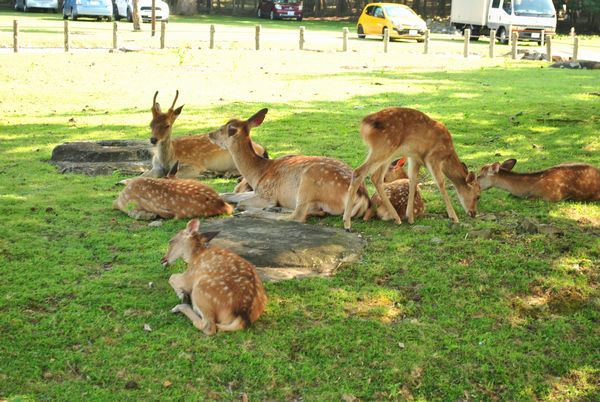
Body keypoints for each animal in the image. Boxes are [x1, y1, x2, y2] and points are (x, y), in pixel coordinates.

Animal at [209, 108, 372, 221]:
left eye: (224, 129)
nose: (210, 134)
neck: (257, 173)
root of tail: (364, 199)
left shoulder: (268, 195)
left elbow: (241, 203)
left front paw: (252, 209)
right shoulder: (257, 190)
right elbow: (227, 194)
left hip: (309, 181)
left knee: (298, 216)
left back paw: (253, 212)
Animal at [344, 108, 480, 231]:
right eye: (478, 195)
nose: (473, 213)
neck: (447, 155)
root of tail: (364, 124)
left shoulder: (415, 158)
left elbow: (413, 180)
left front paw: (410, 217)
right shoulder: (433, 158)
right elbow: (441, 183)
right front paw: (454, 218)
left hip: (386, 153)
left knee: (376, 178)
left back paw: (397, 218)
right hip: (384, 148)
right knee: (359, 172)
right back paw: (347, 224)